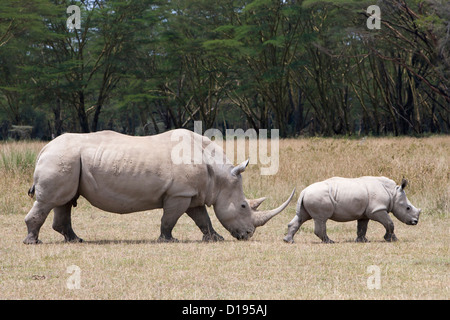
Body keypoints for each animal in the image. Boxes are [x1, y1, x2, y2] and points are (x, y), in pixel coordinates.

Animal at [23, 129, 296, 244]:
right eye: (243, 206)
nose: (248, 235)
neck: (218, 174)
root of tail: (43, 149)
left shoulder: (192, 193)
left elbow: (202, 218)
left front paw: (214, 238)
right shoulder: (179, 193)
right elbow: (169, 218)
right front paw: (168, 240)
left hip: (67, 160)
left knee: (64, 201)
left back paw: (76, 240)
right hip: (61, 158)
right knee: (49, 201)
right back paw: (33, 243)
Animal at [284, 178, 422, 242]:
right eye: (408, 208)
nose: (415, 222)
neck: (393, 193)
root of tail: (304, 191)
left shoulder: (365, 213)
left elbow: (362, 227)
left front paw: (363, 241)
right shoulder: (377, 209)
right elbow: (389, 223)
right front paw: (392, 239)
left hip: (309, 198)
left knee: (301, 217)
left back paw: (288, 241)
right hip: (317, 197)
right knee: (321, 219)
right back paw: (330, 242)